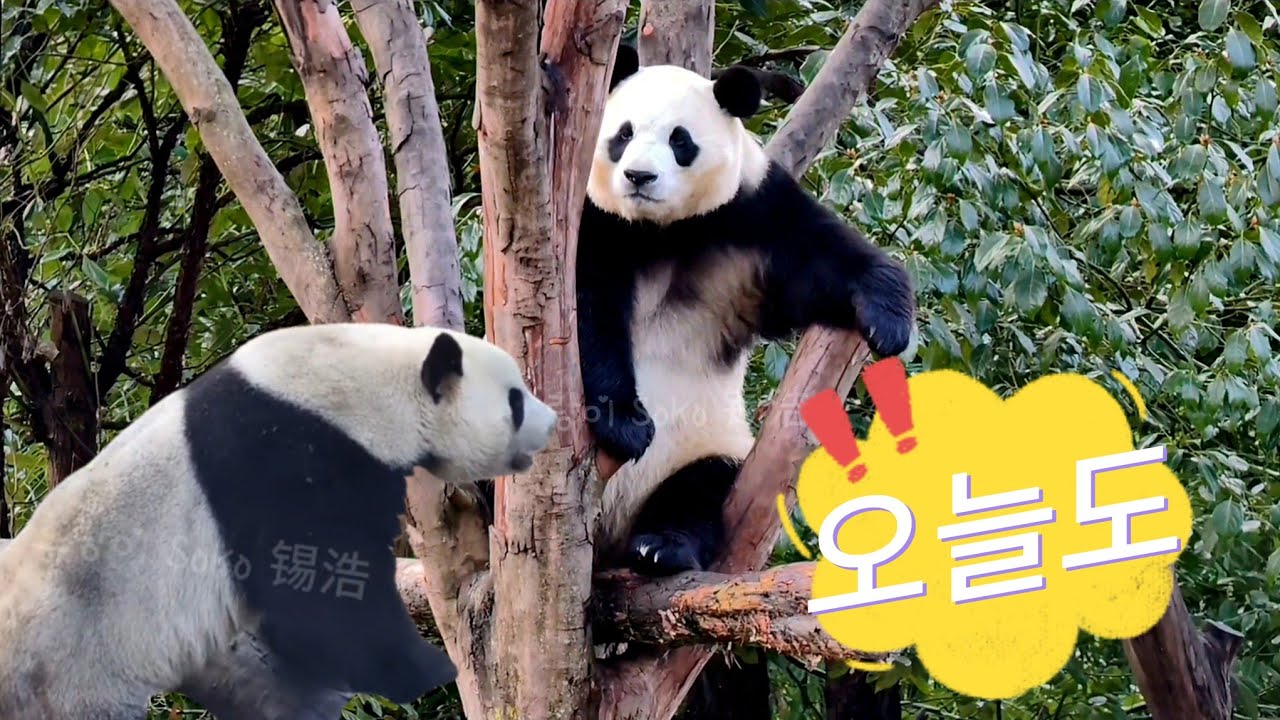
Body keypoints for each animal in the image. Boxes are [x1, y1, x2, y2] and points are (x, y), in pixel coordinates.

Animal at [0, 323, 556, 720]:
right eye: (514, 399)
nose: (553, 421)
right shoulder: (292, 460)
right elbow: (325, 599)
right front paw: (428, 669)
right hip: (74, 671)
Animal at [579, 45, 916, 577]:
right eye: (623, 134)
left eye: (680, 141)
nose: (639, 177)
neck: (662, 231)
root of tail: (608, 541)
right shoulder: (598, 223)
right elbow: (590, 314)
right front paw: (625, 424)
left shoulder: (752, 215)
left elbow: (824, 259)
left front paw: (888, 322)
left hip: (708, 444)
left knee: (703, 485)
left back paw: (662, 546)